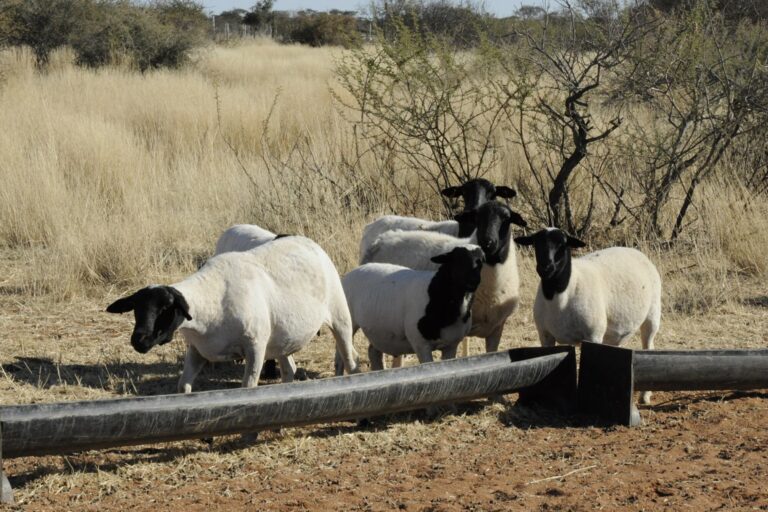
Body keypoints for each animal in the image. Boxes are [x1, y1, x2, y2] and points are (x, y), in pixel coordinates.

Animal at [106, 235, 360, 393]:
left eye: (165, 308)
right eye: (136, 309)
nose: (139, 340)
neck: (210, 301)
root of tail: (308, 241)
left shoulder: (255, 346)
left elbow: (247, 387)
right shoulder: (197, 350)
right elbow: (183, 387)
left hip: (339, 315)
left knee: (350, 359)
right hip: (283, 337)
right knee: (289, 370)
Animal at [341, 246, 485, 371]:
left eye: (481, 262)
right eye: (457, 260)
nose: (474, 281)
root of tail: (355, 270)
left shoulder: (451, 345)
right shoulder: (421, 344)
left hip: (379, 331)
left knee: (373, 352)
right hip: (350, 321)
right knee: (341, 356)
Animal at [514, 228, 661, 404]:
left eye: (563, 244)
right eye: (536, 243)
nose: (546, 268)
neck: (561, 294)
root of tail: (636, 251)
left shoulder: (593, 334)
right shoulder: (545, 335)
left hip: (652, 315)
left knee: (649, 346)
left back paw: (645, 395)